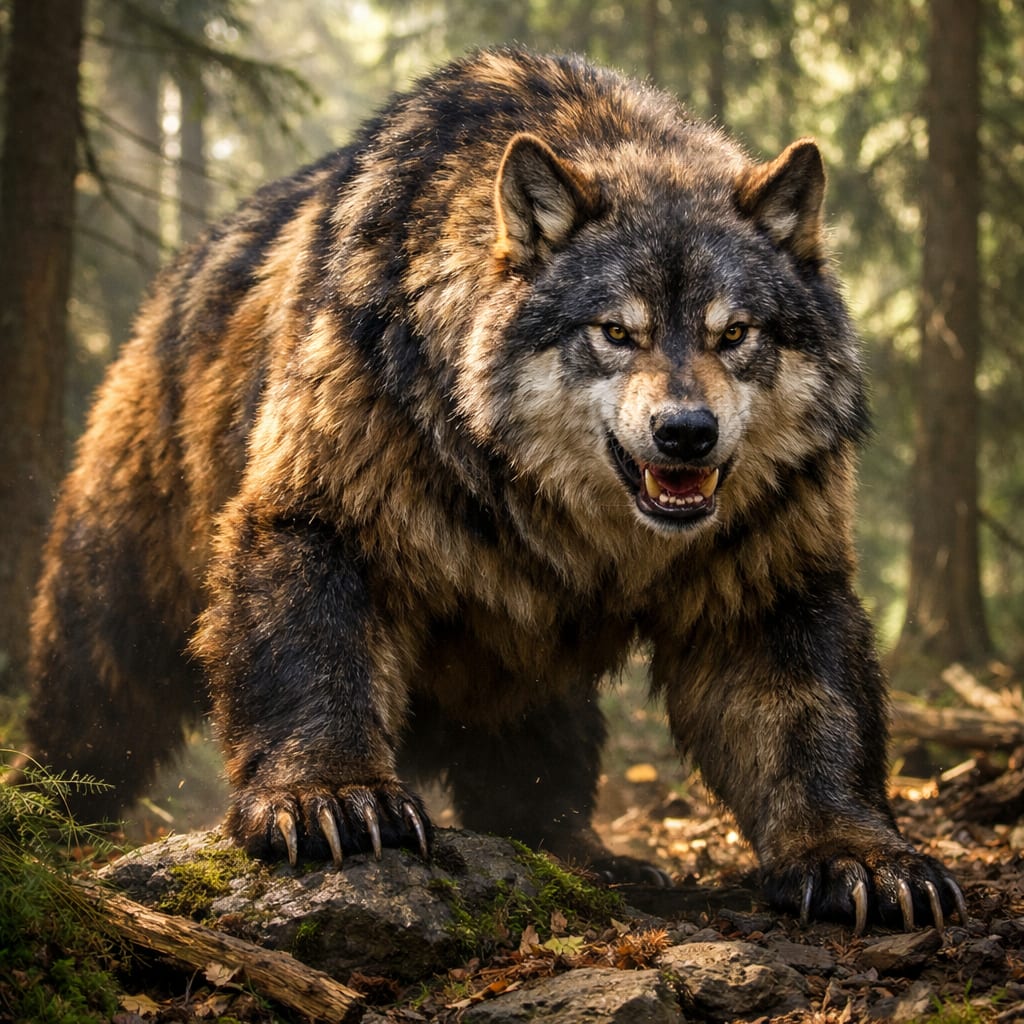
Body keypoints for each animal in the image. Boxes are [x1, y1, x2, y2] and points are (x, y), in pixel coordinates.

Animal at [24, 48, 963, 930]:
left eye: (734, 334)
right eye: (616, 332)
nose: (687, 433)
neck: (549, 505)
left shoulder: (768, 583)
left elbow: (815, 724)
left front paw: (859, 855)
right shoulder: (324, 523)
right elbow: (314, 666)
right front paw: (328, 795)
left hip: (536, 669)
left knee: (536, 776)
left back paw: (584, 856)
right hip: (116, 632)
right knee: (85, 730)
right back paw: (43, 824)